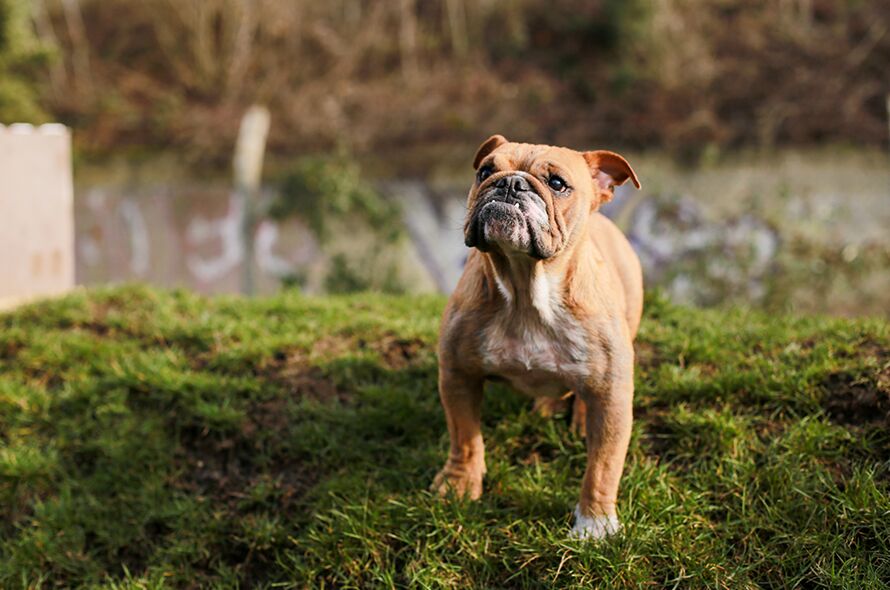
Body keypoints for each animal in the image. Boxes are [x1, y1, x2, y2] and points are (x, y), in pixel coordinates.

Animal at [430, 134, 640, 540]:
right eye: (485, 171)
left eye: (557, 184)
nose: (510, 183)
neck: (526, 288)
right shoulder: (458, 374)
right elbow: (465, 437)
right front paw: (460, 483)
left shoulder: (614, 396)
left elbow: (603, 467)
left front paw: (594, 524)